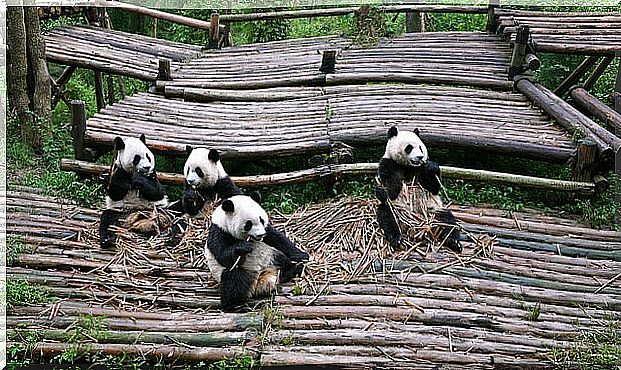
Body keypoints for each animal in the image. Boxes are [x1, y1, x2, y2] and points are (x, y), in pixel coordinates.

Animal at [372, 125, 460, 253]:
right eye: (409, 147)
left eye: (420, 148)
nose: (420, 157)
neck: (409, 167)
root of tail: (415, 224)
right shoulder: (389, 163)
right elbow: (392, 189)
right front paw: (382, 191)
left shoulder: (420, 169)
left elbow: (433, 187)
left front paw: (431, 167)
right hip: (398, 210)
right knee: (387, 215)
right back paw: (397, 239)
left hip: (433, 210)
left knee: (446, 220)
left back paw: (453, 241)